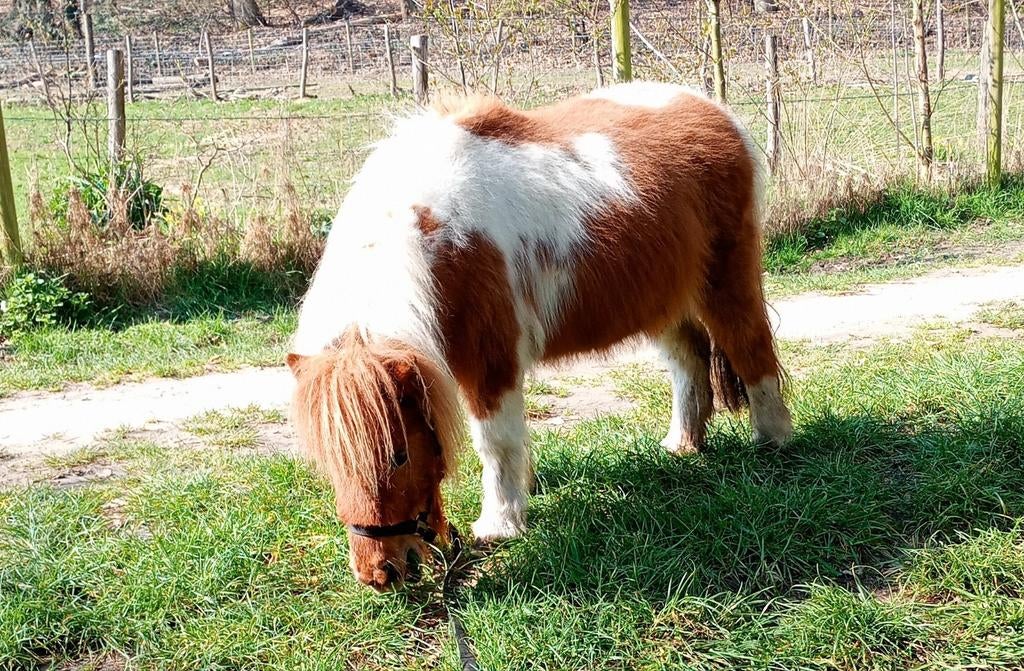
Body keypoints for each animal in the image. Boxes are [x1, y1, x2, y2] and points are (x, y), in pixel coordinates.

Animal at [287, 81, 793, 590]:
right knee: (689, 363)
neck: (439, 235)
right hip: (664, 300)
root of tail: (711, 109)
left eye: (399, 455)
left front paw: (500, 524)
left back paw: (771, 441)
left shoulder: (490, 362)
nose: (379, 572)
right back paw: (682, 445)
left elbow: (495, 441)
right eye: (327, 462)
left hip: (726, 282)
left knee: (752, 350)